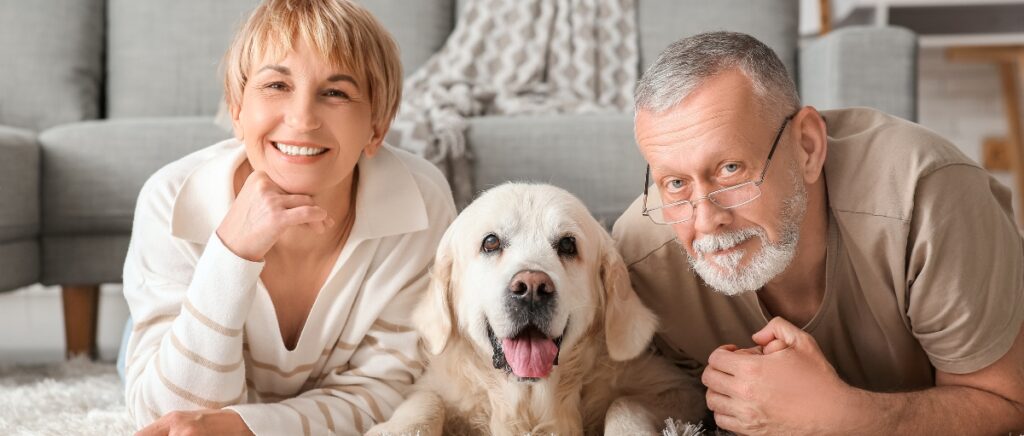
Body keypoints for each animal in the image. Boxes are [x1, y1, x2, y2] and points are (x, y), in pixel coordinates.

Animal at [366, 184, 704, 436]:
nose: (531, 288)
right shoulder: (434, 386)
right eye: (491, 242)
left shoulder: (680, 389)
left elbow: (624, 403)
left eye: (567, 245)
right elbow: (425, 402)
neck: (529, 401)